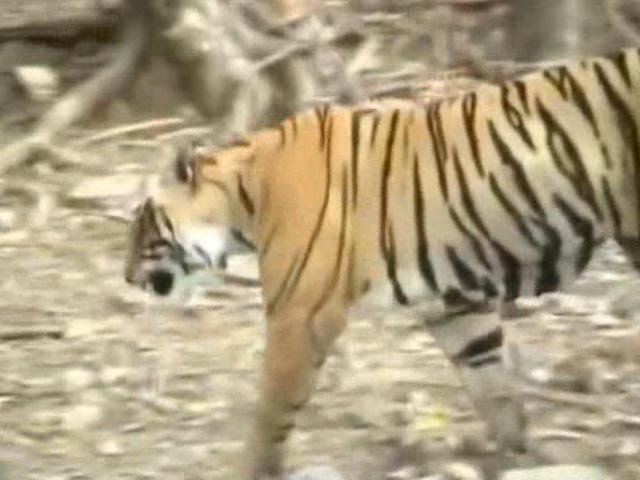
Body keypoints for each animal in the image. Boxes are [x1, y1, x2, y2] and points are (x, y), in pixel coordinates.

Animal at [124, 46, 640, 479]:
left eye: (143, 221)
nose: (126, 277)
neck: (244, 197)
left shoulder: (299, 315)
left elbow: (272, 408)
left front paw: (252, 469)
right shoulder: (453, 304)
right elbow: (491, 383)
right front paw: (516, 454)